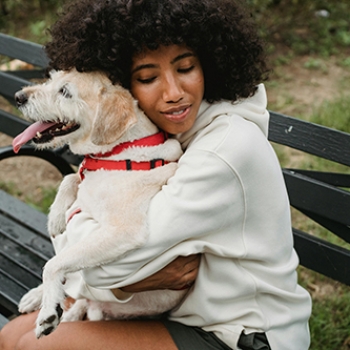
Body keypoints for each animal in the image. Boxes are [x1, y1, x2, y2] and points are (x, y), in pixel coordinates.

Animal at [12, 69, 185, 340]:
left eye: (65, 91)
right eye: (51, 78)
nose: (18, 97)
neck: (119, 153)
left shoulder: (122, 232)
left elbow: (53, 265)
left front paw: (48, 312)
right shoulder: (84, 177)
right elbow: (70, 177)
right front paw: (56, 217)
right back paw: (36, 297)